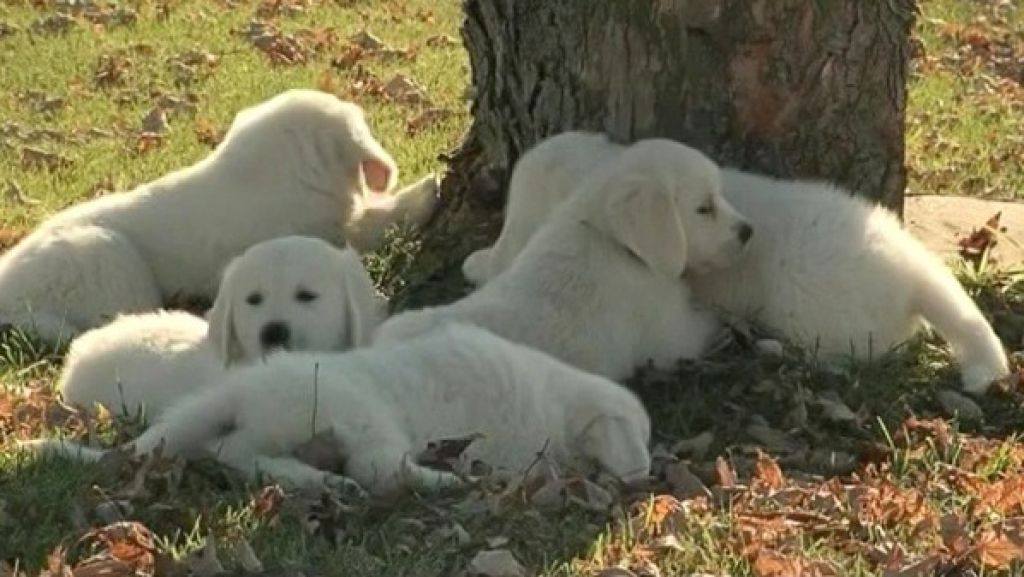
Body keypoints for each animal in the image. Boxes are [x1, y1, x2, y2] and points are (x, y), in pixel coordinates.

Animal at [24, 325, 651, 496]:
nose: (646, 473)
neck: (559, 400)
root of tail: (241, 389)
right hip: (361, 416)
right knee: (377, 470)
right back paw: (445, 480)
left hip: (269, 425)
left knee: (232, 452)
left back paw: (313, 479)